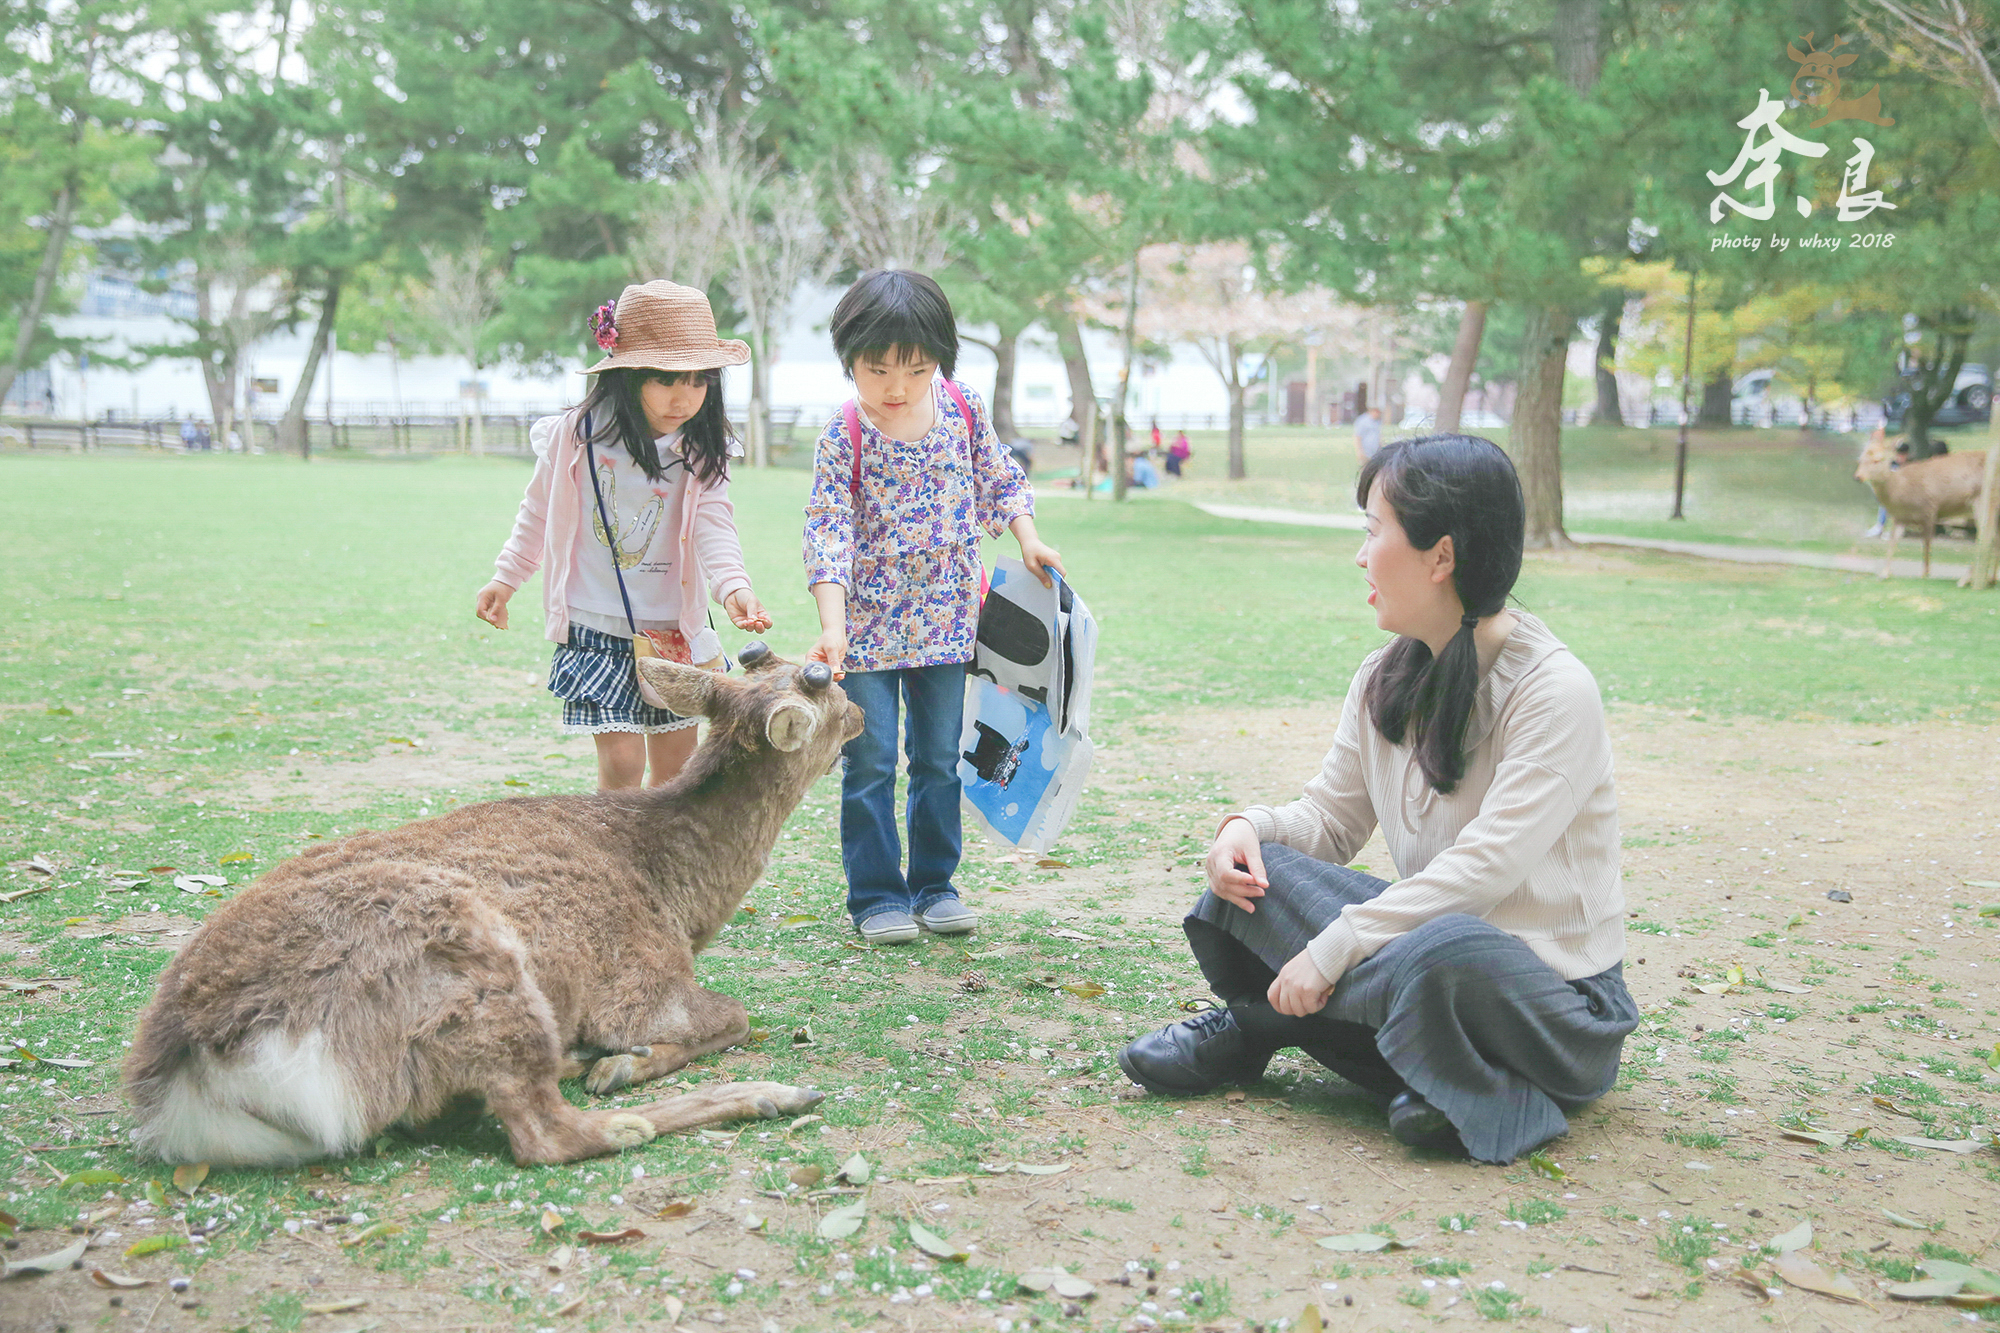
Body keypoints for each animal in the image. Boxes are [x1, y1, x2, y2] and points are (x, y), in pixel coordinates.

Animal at [125, 644, 860, 1160]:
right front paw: (625, 1062)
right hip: (476, 966)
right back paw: (762, 1095)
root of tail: (186, 1078)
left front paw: (617, 1061)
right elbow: (735, 1015)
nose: (859, 713)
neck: (683, 901)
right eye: (827, 682)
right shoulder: (639, 981)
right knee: (545, 1133)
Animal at [1856, 428, 1984, 580]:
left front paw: (1926, 573)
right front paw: (1884, 573)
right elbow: (1893, 542)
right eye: (1860, 459)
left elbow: (1926, 543)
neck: (1900, 490)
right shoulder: (1900, 517)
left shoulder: (1929, 509)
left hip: (1980, 500)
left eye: (1877, 460)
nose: (1858, 477)